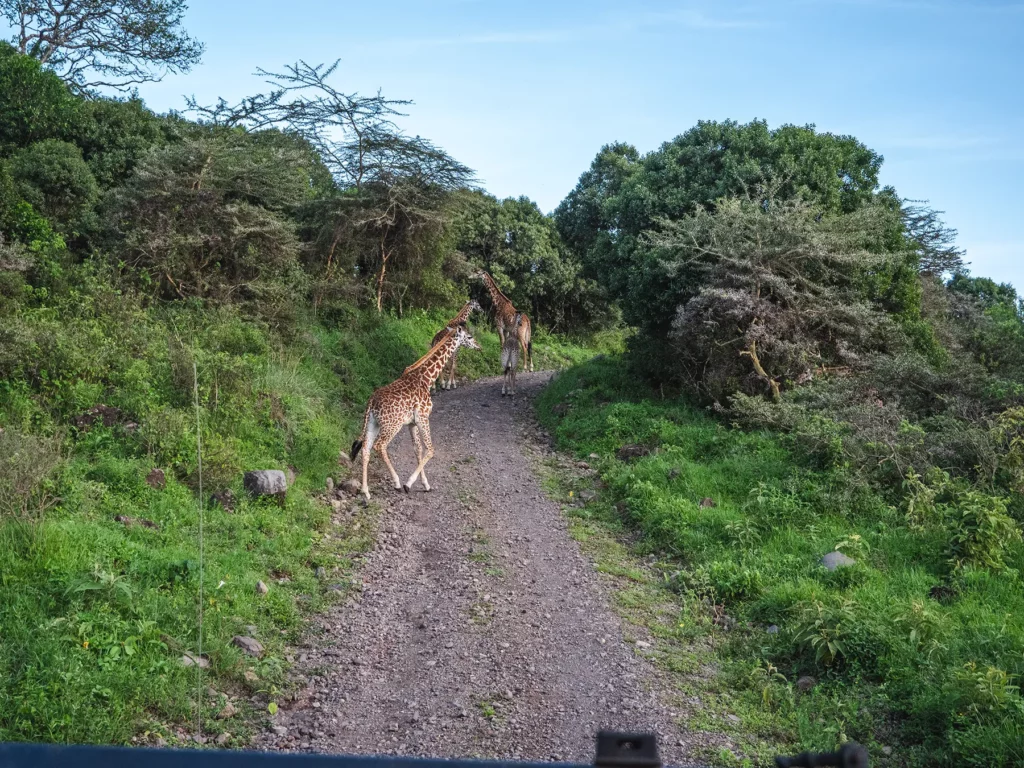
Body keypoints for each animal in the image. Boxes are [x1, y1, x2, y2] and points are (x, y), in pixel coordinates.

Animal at [350, 323, 481, 500]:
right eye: (469, 337)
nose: (479, 347)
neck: (426, 377)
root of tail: (371, 402)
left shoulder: (412, 423)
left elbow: (418, 449)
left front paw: (425, 484)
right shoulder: (423, 417)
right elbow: (430, 449)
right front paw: (409, 484)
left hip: (373, 423)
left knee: (365, 448)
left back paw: (365, 491)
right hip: (392, 425)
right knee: (379, 445)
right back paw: (397, 482)